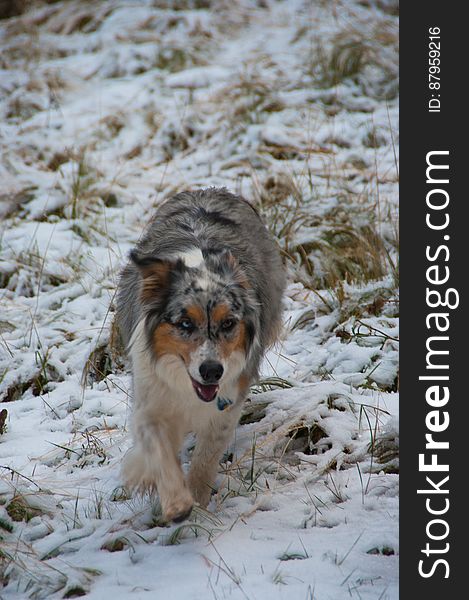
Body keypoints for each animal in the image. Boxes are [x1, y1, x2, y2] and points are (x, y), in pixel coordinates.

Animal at [117, 188, 286, 520]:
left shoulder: (227, 403)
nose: (211, 371)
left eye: (228, 323)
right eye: (185, 323)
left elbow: (206, 459)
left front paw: (197, 505)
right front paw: (176, 503)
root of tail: (207, 190)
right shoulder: (150, 399)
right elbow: (158, 450)